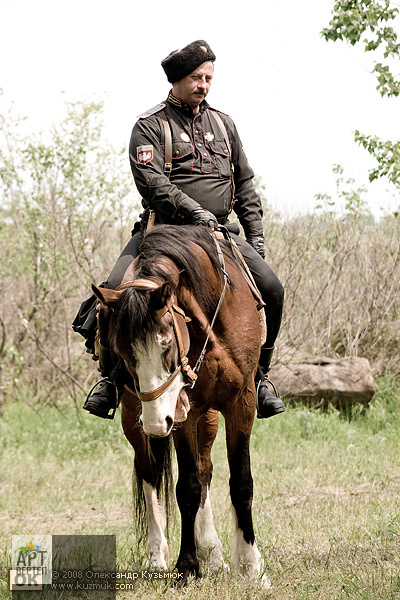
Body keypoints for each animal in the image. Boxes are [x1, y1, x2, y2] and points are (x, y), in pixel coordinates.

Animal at [93, 225, 268, 584]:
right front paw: (186, 565)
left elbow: (240, 482)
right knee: (149, 472)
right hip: (136, 416)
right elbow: (185, 487)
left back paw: (214, 554)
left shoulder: (240, 404)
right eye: (122, 352)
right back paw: (156, 555)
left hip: (205, 417)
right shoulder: (183, 415)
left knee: (204, 469)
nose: (157, 423)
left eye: (167, 344)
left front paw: (250, 566)